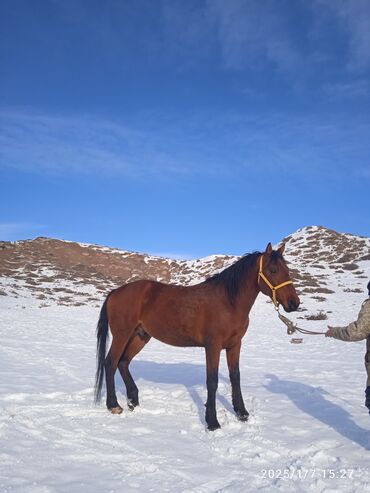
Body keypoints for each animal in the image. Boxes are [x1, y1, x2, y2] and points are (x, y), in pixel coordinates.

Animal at [94, 244, 300, 428]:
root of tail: (115, 292)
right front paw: (212, 422)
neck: (228, 302)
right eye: (273, 270)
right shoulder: (213, 347)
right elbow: (212, 381)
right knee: (110, 363)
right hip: (122, 335)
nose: (294, 303)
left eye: (287, 270)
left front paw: (241, 413)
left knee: (123, 362)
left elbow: (235, 377)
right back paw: (114, 405)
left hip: (140, 336)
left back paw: (133, 400)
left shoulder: (235, 345)